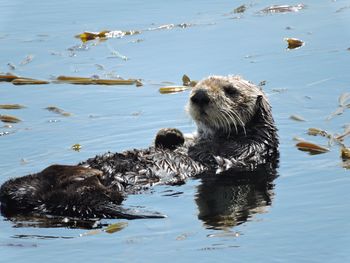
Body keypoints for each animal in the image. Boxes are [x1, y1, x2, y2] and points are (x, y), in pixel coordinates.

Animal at [0, 76, 278, 223]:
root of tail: (45, 203)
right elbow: (171, 142)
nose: (199, 95)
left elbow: (210, 156)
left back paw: (87, 174)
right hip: (24, 186)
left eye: (230, 90)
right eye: (197, 84)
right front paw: (170, 134)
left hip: (96, 193)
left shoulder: (245, 150)